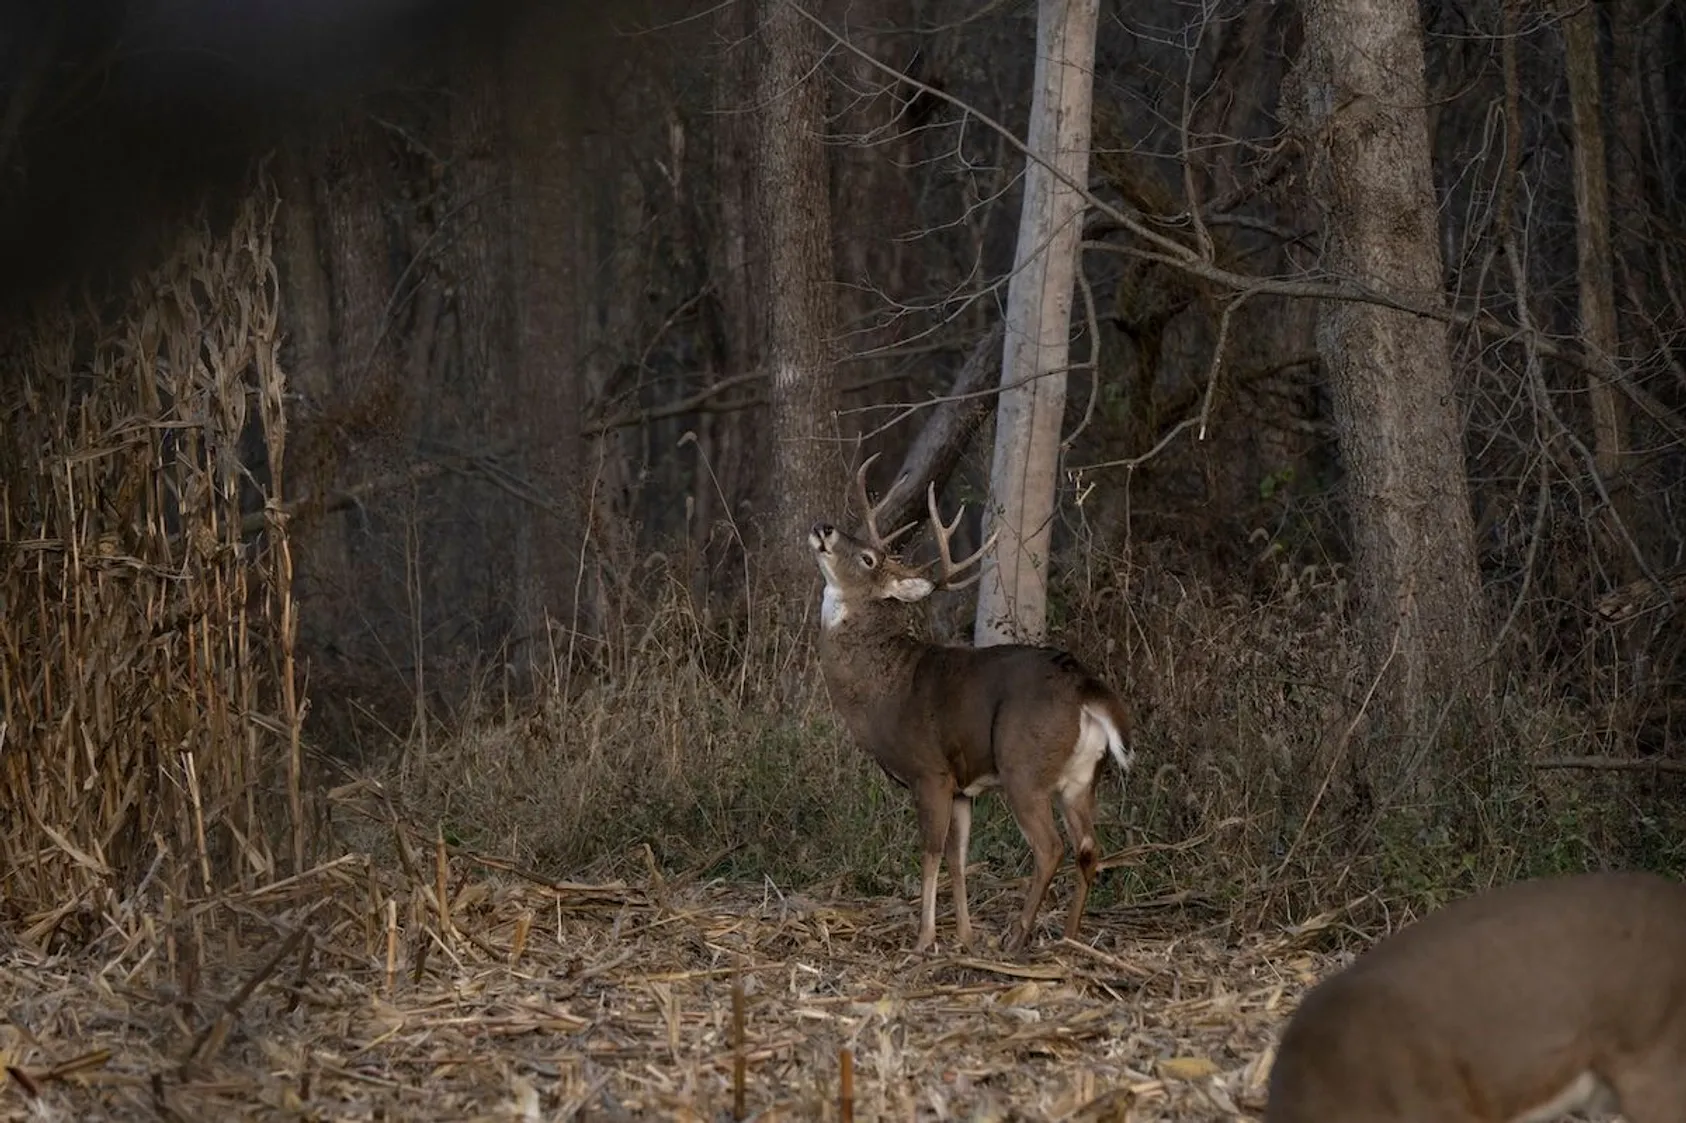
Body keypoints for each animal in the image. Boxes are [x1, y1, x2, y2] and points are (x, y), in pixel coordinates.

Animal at [807, 454, 1133, 954]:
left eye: (867, 558)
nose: (823, 528)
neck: (883, 688)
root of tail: (1085, 688)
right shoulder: (963, 788)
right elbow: (959, 859)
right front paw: (963, 934)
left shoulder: (931, 772)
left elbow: (930, 854)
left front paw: (924, 940)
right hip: (1082, 777)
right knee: (1088, 846)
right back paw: (1069, 937)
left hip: (1023, 765)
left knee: (1050, 847)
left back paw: (1018, 935)